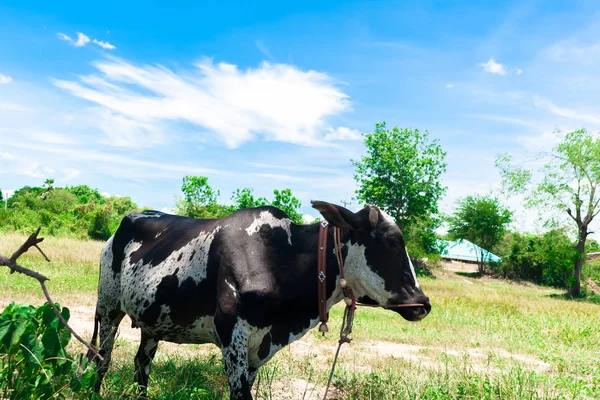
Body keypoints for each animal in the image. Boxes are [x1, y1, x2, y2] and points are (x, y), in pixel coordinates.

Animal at [86, 202, 428, 398]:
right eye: (393, 241)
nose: (423, 303)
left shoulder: (258, 350)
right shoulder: (232, 339)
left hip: (152, 321)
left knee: (141, 365)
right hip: (108, 307)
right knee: (102, 358)